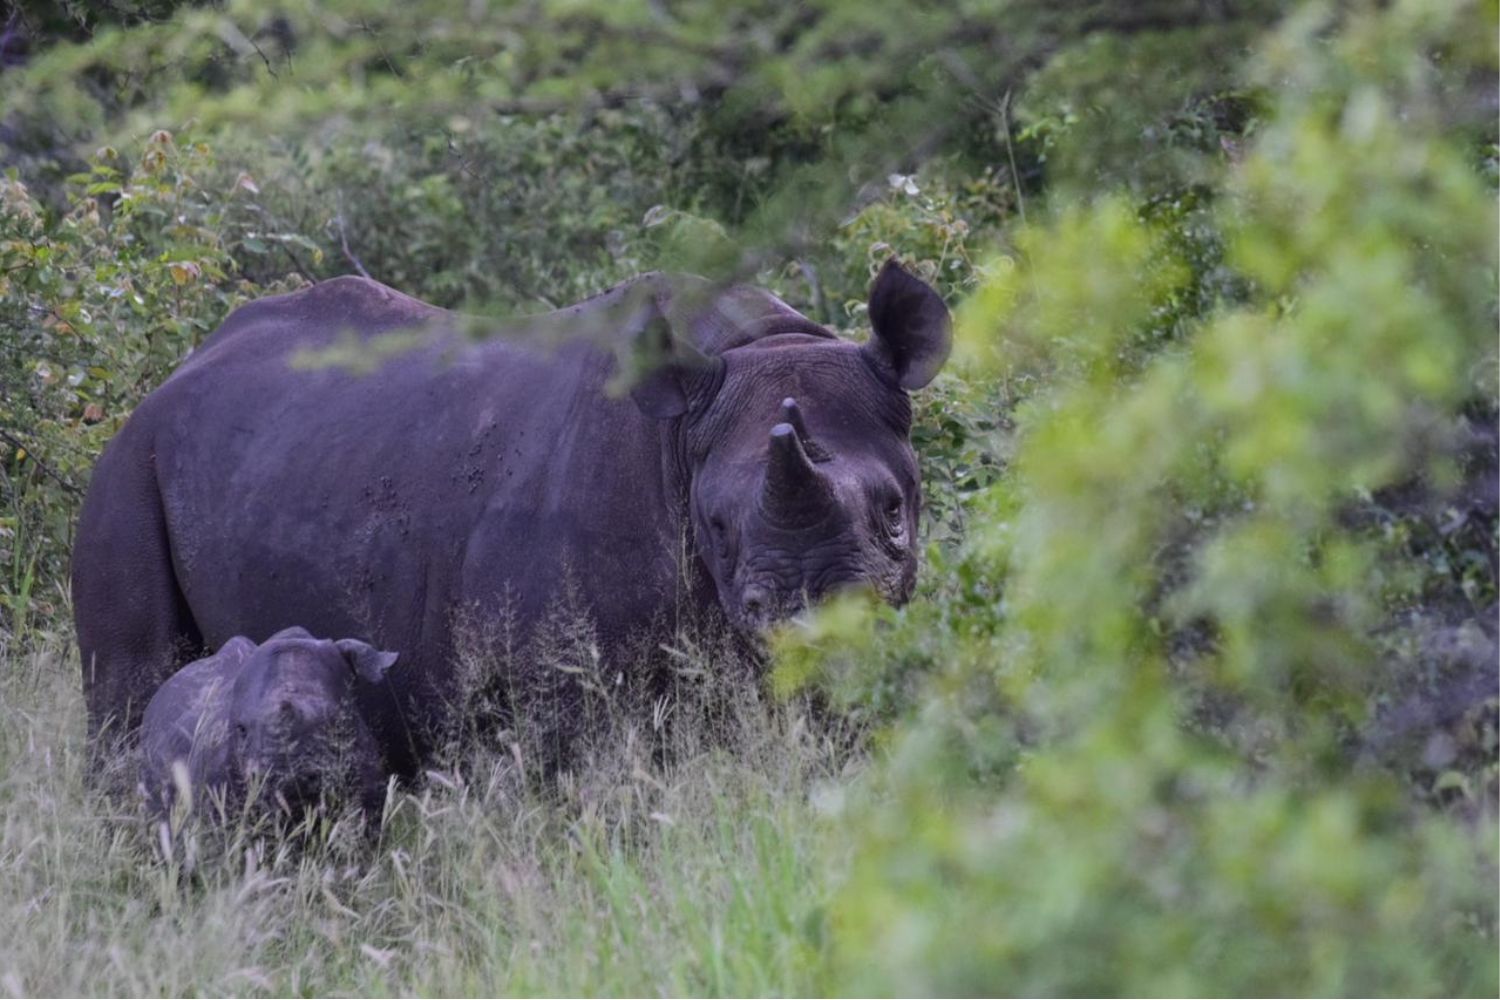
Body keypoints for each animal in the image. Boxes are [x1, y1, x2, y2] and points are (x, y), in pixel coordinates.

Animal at [74, 260, 951, 773]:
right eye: (721, 529)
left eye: (894, 510)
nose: (809, 611)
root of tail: (167, 380)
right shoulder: (556, 674)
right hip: (126, 472)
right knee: (131, 688)